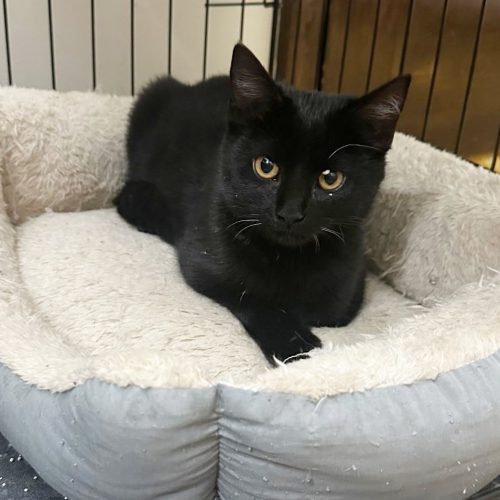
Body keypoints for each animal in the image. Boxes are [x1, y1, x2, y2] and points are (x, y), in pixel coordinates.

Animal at [115, 43, 410, 364]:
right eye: (265, 166)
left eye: (331, 179)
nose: (290, 213)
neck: (288, 259)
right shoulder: (202, 260)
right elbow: (250, 295)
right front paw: (297, 348)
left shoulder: (349, 285)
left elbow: (329, 309)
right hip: (151, 97)